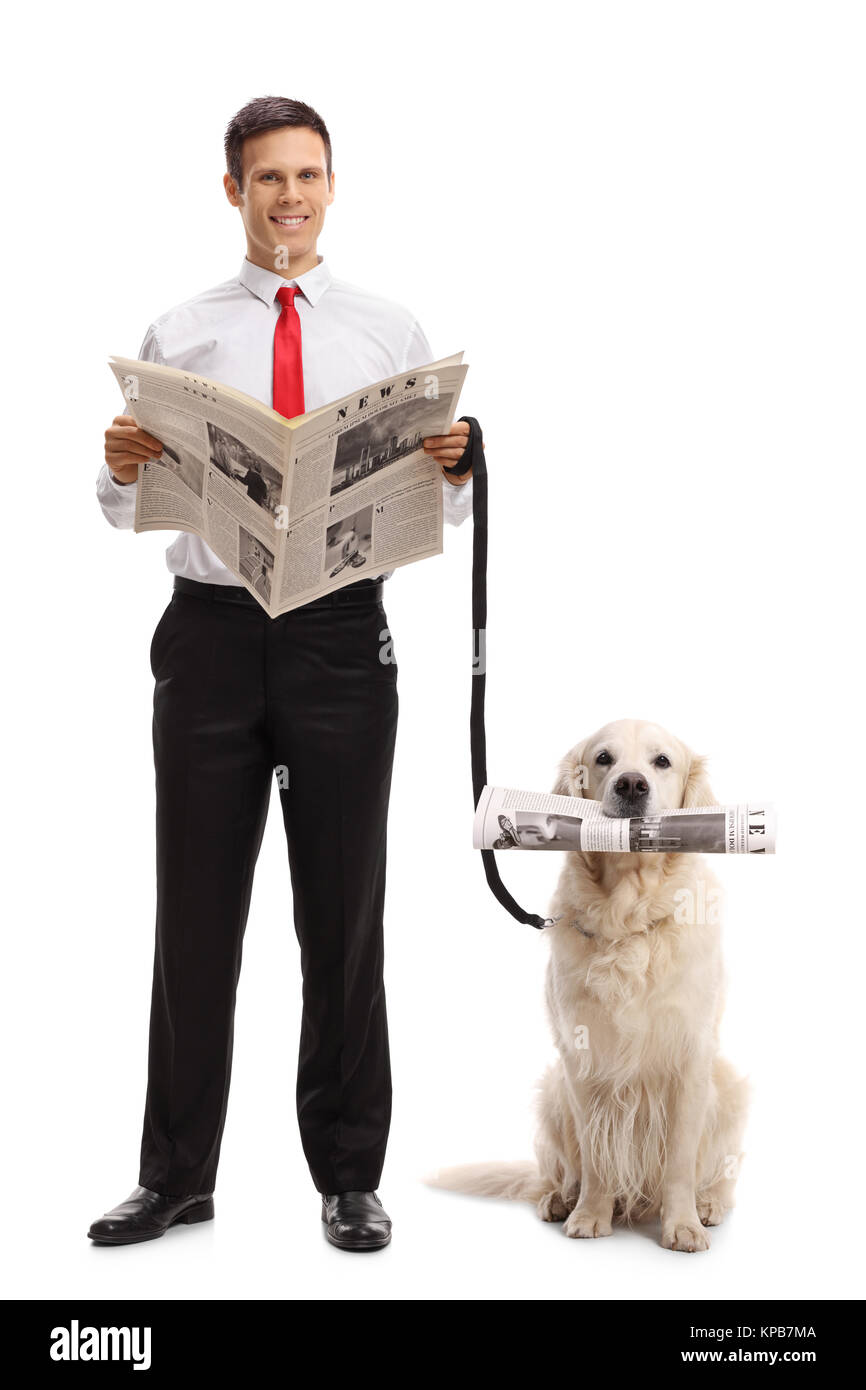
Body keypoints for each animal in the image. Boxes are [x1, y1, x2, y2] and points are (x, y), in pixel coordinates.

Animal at [433, 722, 750, 1256]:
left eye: (662, 762)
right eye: (604, 758)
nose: (631, 785)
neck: (629, 918)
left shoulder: (690, 1058)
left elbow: (680, 1160)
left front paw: (683, 1224)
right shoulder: (584, 1060)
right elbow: (597, 1156)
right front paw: (590, 1215)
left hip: (726, 1085)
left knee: (718, 1175)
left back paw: (708, 1205)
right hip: (553, 1091)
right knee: (560, 1170)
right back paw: (560, 1198)